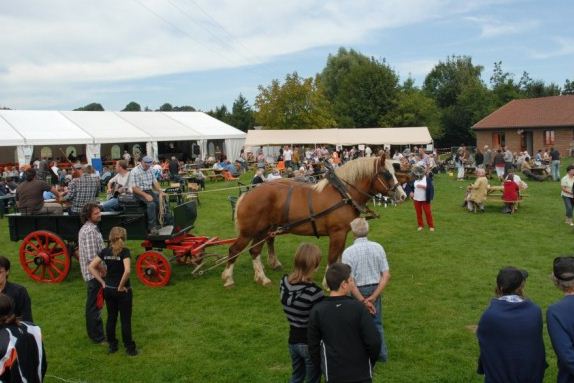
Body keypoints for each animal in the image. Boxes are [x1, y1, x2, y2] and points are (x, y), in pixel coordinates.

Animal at [223, 153, 408, 288]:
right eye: (386, 174)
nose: (402, 195)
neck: (343, 193)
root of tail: (247, 194)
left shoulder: (343, 233)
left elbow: (339, 256)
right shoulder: (337, 233)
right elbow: (333, 257)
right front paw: (328, 282)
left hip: (263, 231)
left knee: (255, 251)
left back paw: (262, 277)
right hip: (249, 232)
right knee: (234, 250)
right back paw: (229, 278)